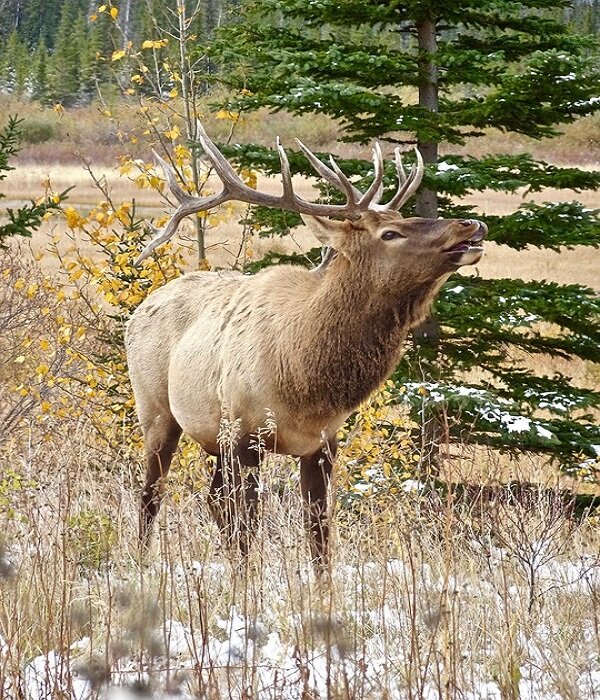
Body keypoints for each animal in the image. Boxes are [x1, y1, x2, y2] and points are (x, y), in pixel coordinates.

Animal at [125, 121, 487, 565]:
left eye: (401, 216)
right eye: (390, 233)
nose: (470, 224)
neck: (304, 381)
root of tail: (139, 309)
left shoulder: (323, 445)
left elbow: (318, 538)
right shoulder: (245, 436)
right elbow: (248, 532)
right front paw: (245, 580)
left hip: (212, 438)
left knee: (212, 499)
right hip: (157, 410)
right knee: (152, 495)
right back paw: (143, 561)